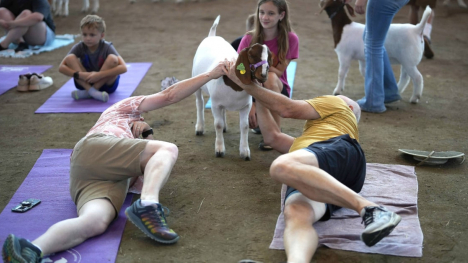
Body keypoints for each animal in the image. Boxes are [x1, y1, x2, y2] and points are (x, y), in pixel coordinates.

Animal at [193, 16, 272, 161]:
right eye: (251, 55)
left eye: (268, 56)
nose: (263, 75)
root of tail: (212, 35)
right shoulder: (215, 105)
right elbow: (217, 124)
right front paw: (219, 150)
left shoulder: (245, 106)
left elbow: (244, 126)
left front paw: (245, 151)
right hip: (196, 81)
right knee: (200, 103)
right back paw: (200, 127)